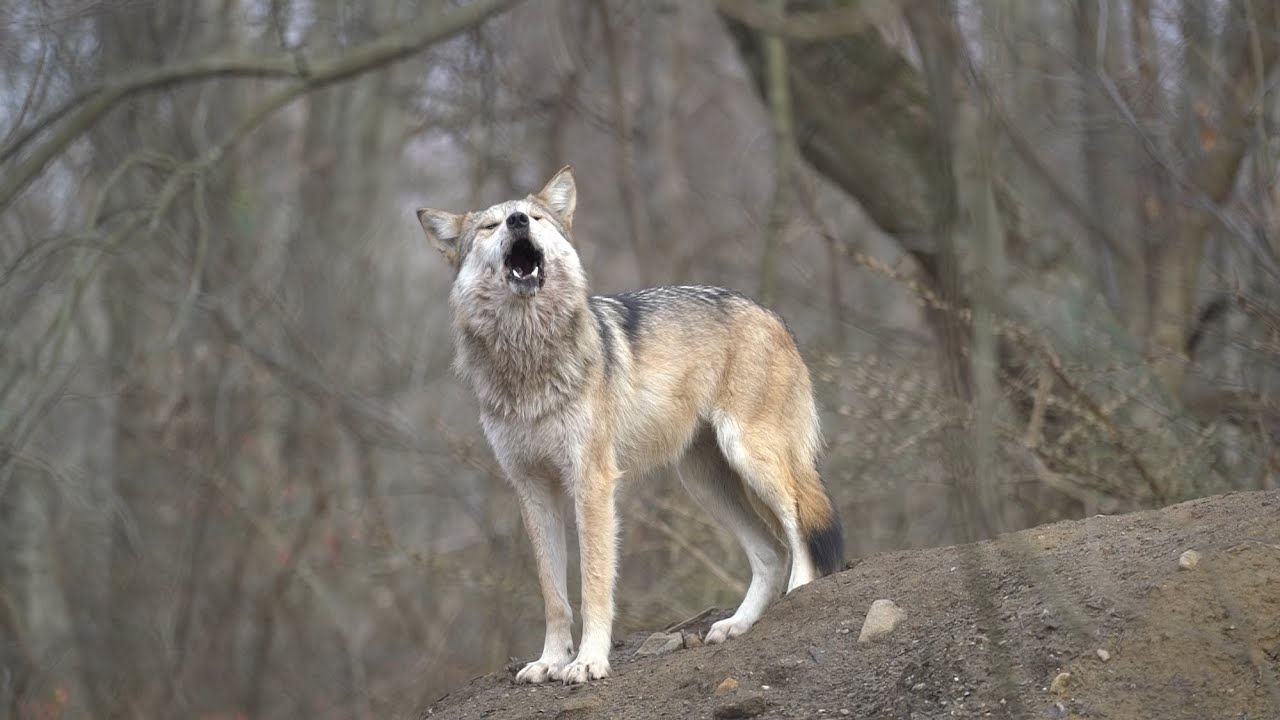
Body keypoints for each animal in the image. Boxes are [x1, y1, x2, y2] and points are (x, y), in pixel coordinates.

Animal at [416, 167, 843, 685]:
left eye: (534, 218)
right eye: (490, 226)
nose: (517, 221)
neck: (529, 357)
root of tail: (771, 313)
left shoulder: (593, 481)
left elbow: (595, 584)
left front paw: (588, 661)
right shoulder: (532, 488)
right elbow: (553, 594)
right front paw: (550, 661)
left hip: (752, 457)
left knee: (798, 523)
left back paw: (800, 590)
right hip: (706, 485)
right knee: (770, 553)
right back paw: (736, 625)